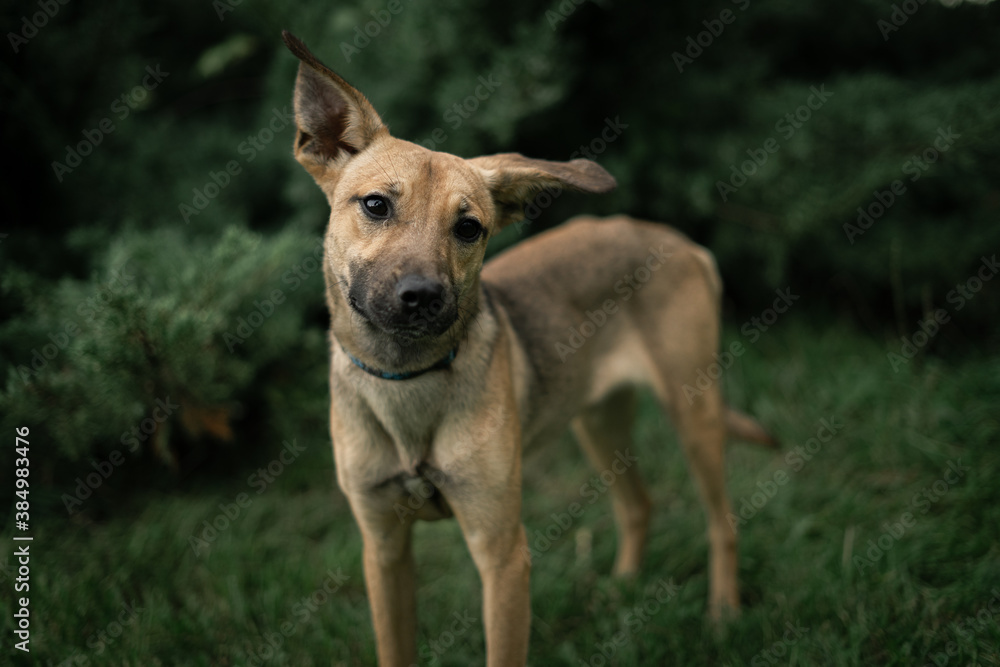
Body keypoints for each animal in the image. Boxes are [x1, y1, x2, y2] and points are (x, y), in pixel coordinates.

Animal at [286, 31, 776, 667]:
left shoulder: (503, 556)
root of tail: (677, 241)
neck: (408, 384)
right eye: (375, 205)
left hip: (693, 411)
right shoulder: (384, 551)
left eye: (469, 228)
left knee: (723, 521)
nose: (422, 297)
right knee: (637, 504)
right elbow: (395, 646)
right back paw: (619, 591)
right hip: (596, 420)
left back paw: (722, 614)